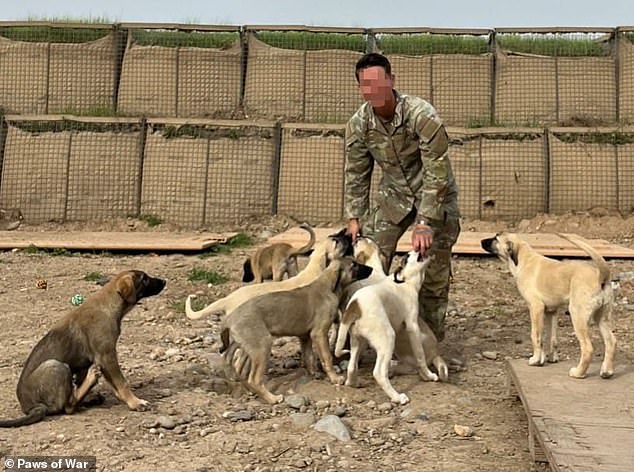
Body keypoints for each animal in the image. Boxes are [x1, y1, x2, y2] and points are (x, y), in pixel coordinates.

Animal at [0, 270, 165, 428]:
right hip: (56, 365)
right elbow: (122, 383)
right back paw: (90, 381)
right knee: (68, 407)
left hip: (80, 367)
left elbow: (115, 383)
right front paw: (135, 402)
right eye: (144, 279)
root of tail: (31, 407)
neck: (110, 304)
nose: (164, 281)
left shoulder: (104, 359)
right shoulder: (107, 355)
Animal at [221, 256, 372, 404]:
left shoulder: (305, 336)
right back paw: (272, 398)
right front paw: (334, 378)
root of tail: (229, 319)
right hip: (262, 347)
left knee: (239, 368)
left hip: (247, 346)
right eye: (354, 265)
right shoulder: (319, 333)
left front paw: (313, 373)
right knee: (254, 379)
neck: (328, 286)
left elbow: (309, 356)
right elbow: (327, 357)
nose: (371, 269)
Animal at [334, 251, 442, 406]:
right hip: (388, 337)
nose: (412, 251)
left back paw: (353, 383)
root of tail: (355, 306)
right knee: (378, 373)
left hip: (357, 340)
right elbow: (420, 355)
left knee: (351, 366)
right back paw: (397, 397)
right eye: (407, 257)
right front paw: (428, 375)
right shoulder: (412, 327)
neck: (406, 282)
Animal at [478, 232, 612, 380]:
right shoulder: (551, 311)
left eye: (496, 239)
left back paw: (578, 373)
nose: (481, 241)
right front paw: (551, 358)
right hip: (602, 317)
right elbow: (551, 338)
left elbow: (535, 336)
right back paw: (607, 371)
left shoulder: (536, 307)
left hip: (578, 315)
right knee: (611, 341)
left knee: (587, 348)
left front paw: (536, 360)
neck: (523, 258)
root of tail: (601, 277)